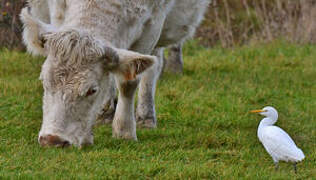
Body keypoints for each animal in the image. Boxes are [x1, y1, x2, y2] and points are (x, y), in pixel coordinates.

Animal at [21, 0, 211, 147]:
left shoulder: (152, 27)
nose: (52, 140)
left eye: (92, 90)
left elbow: (130, 82)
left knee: (153, 65)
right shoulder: (58, 11)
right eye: (44, 82)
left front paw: (124, 131)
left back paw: (146, 115)